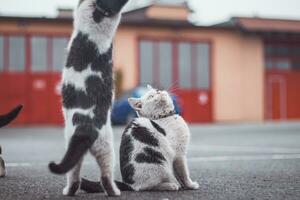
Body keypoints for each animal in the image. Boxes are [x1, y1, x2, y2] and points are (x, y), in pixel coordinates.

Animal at [47, 0, 127, 197]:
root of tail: (84, 128)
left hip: (81, 153)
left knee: (76, 177)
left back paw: (70, 191)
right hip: (107, 150)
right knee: (105, 176)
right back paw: (114, 192)